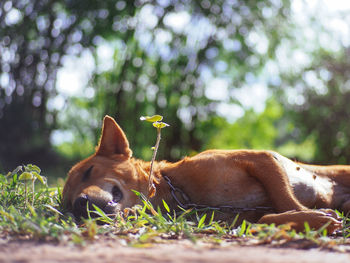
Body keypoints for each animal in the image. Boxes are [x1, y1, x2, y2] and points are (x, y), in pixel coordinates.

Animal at [62, 116, 350, 234]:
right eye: (67, 205)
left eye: (89, 171)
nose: (80, 204)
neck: (182, 193)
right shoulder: (237, 220)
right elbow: (266, 217)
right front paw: (312, 219)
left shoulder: (260, 159)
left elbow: (284, 199)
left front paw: (313, 215)